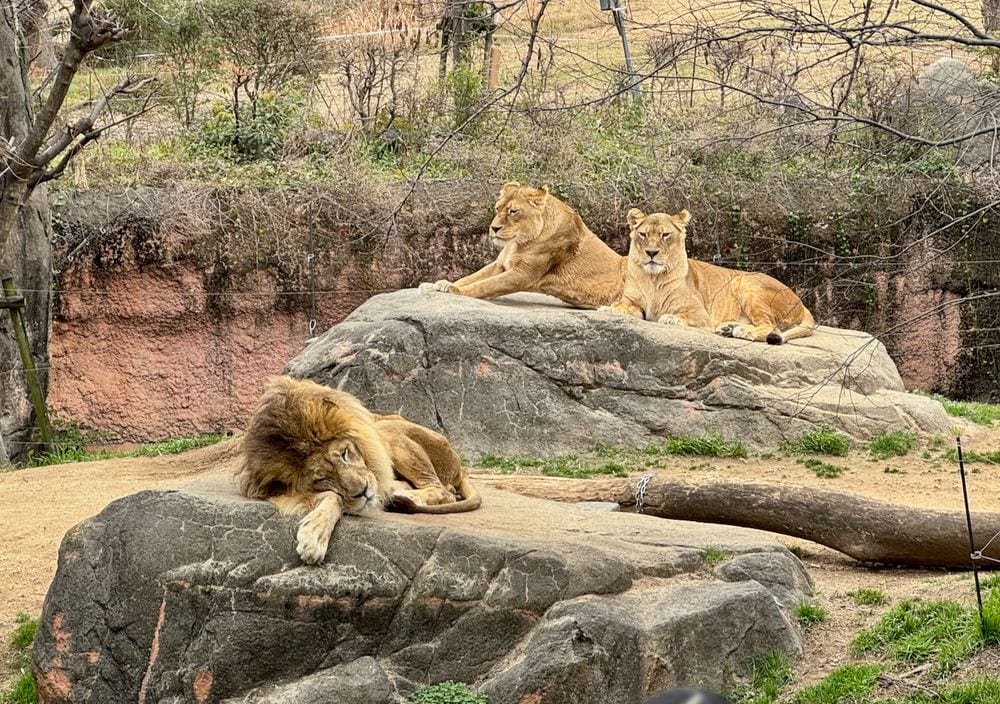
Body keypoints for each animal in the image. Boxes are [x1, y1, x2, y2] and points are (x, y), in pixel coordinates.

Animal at [238, 376, 481, 564]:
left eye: (345, 453)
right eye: (323, 479)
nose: (364, 492)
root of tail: (460, 467)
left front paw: (312, 538)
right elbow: (334, 497)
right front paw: (315, 535)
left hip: (387, 428)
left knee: (444, 491)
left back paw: (400, 495)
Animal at [418, 182, 626, 308]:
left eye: (513, 211)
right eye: (497, 208)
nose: (494, 228)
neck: (517, 242)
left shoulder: (524, 274)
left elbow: (484, 285)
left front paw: (456, 290)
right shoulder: (500, 265)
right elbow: (472, 277)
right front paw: (438, 285)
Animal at [601, 209, 815, 344]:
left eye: (665, 235)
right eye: (644, 234)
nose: (651, 252)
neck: (653, 278)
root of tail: (802, 303)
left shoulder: (701, 314)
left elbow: (683, 315)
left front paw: (671, 318)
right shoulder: (633, 302)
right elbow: (623, 306)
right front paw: (608, 308)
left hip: (744, 282)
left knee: (772, 327)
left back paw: (742, 331)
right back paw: (727, 328)